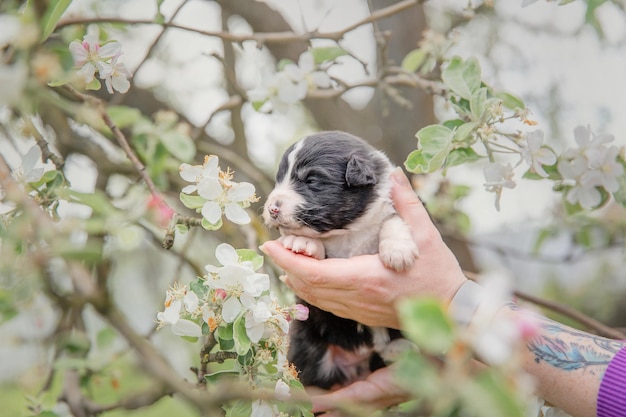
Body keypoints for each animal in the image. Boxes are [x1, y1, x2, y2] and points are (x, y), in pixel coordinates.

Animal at [260, 131, 416, 390]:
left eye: (312, 181)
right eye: (278, 180)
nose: (272, 208)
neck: (348, 232)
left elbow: (391, 220)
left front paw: (398, 250)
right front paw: (303, 243)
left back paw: (400, 349)